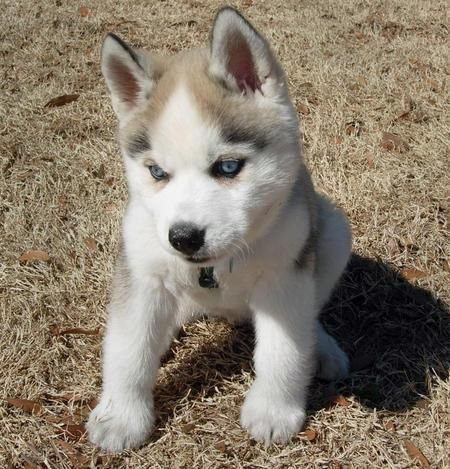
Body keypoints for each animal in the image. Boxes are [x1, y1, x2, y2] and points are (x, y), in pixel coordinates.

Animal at [88, 6, 354, 450]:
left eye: (228, 167)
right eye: (157, 172)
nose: (183, 238)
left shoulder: (285, 276)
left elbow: (283, 349)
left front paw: (273, 411)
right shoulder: (141, 273)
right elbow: (129, 348)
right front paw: (120, 417)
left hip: (333, 232)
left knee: (311, 312)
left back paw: (324, 349)